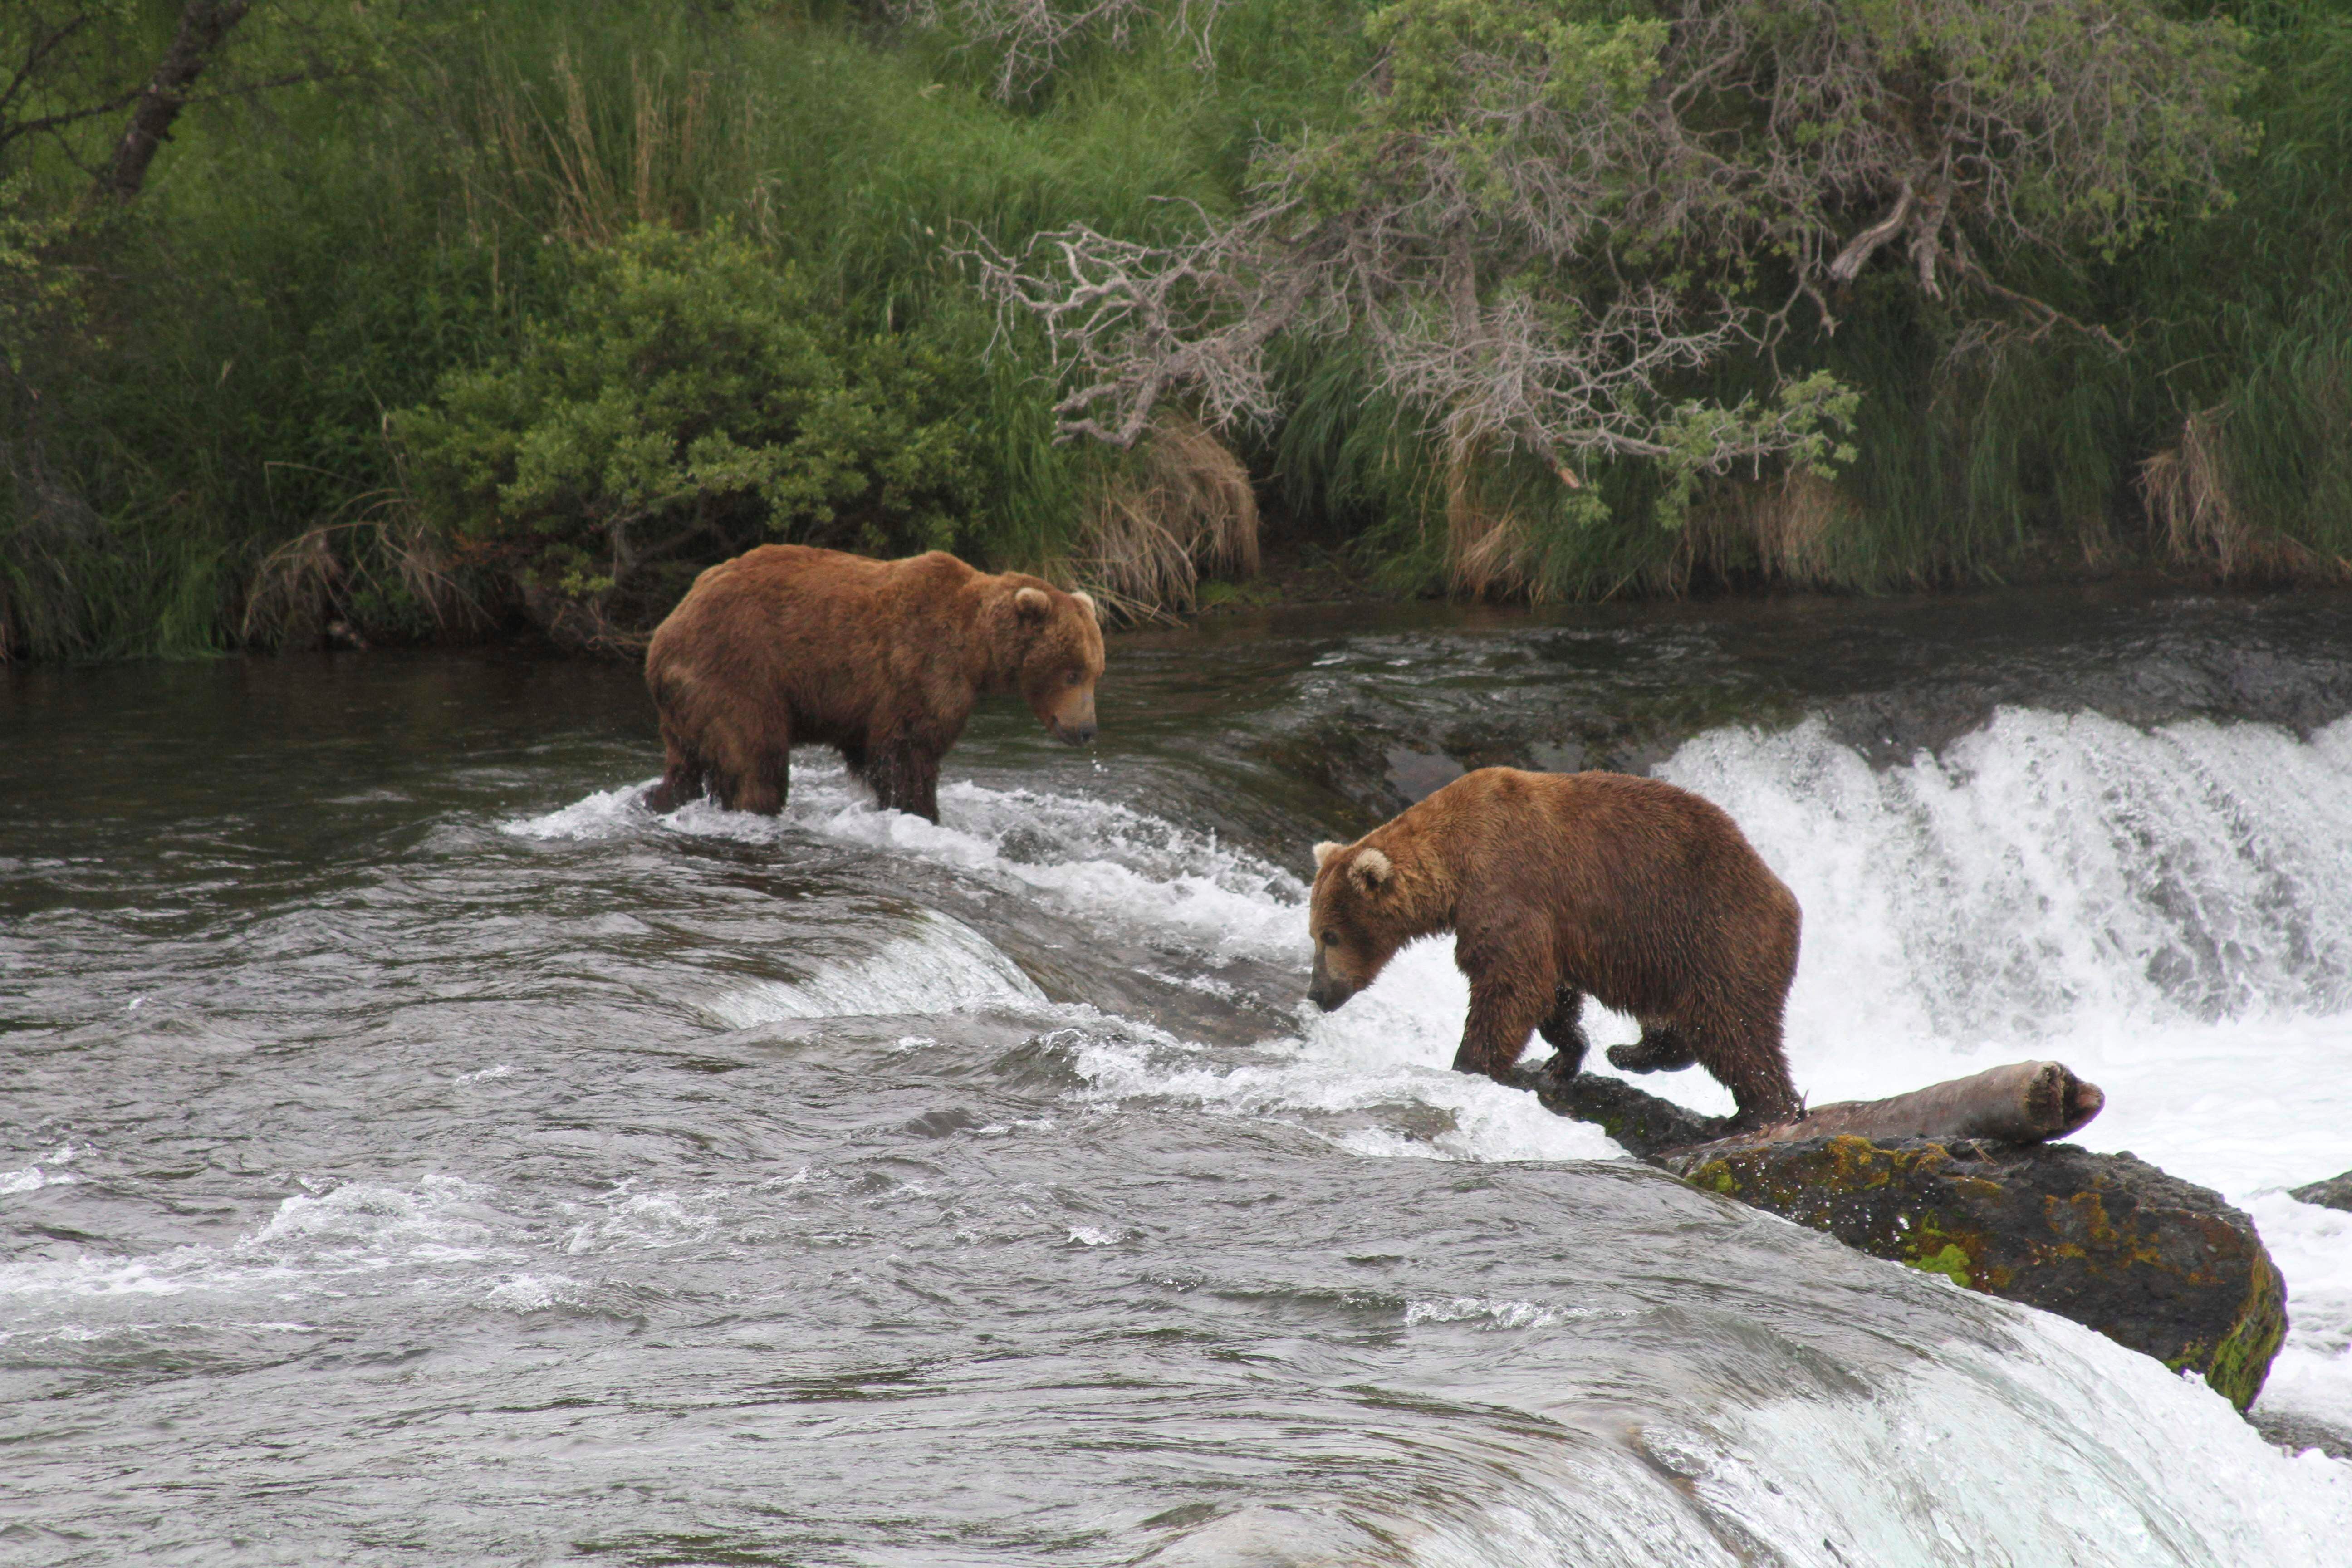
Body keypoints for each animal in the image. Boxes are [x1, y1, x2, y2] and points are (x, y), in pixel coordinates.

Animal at [641, 544, 1104, 824]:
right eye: (1072, 672)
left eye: (1096, 672)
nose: (1086, 730)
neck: (977, 649)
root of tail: (662, 635)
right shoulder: (921, 668)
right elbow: (908, 752)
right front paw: (922, 812)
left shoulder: (866, 706)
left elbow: (875, 753)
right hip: (738, 671)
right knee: (755, 756)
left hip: (688, 703)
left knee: (686, 765)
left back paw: (657, 799)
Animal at [1305, 767, 1804, 1129]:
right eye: (1314, 933)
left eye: (1330, 935)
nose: (1317, 993)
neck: (1455, 863)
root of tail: (1786, 896)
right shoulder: (1551, 925)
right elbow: (1551, 993)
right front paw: (1565, 1055)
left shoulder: (1509, 885)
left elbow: (1511, 984)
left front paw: (1470, 1064)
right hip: (1667, 959)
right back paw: (1632, 1052)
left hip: (1714, 936)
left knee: (1733, 1029)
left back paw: (1761, 1111)